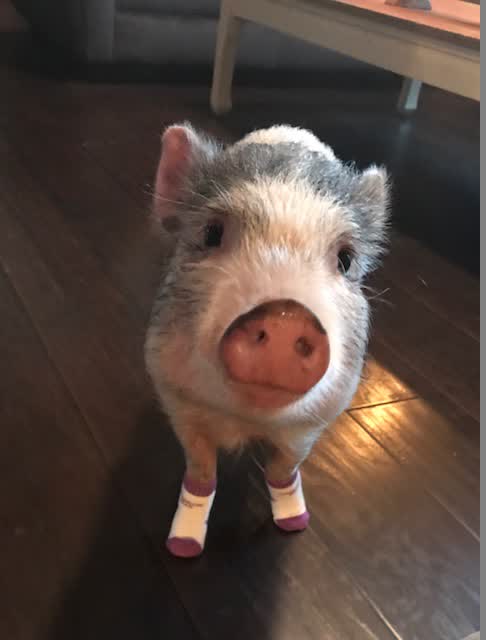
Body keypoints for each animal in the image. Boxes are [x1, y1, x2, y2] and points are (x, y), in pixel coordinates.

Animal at [145, 123, 390, 558]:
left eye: (345, 259)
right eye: (212, 233)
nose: (286, 318)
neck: (247, 420)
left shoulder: (315, 419)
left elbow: (283, 470)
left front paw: (294, 525)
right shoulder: (175, 393)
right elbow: (201, 474)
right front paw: (183, 548)